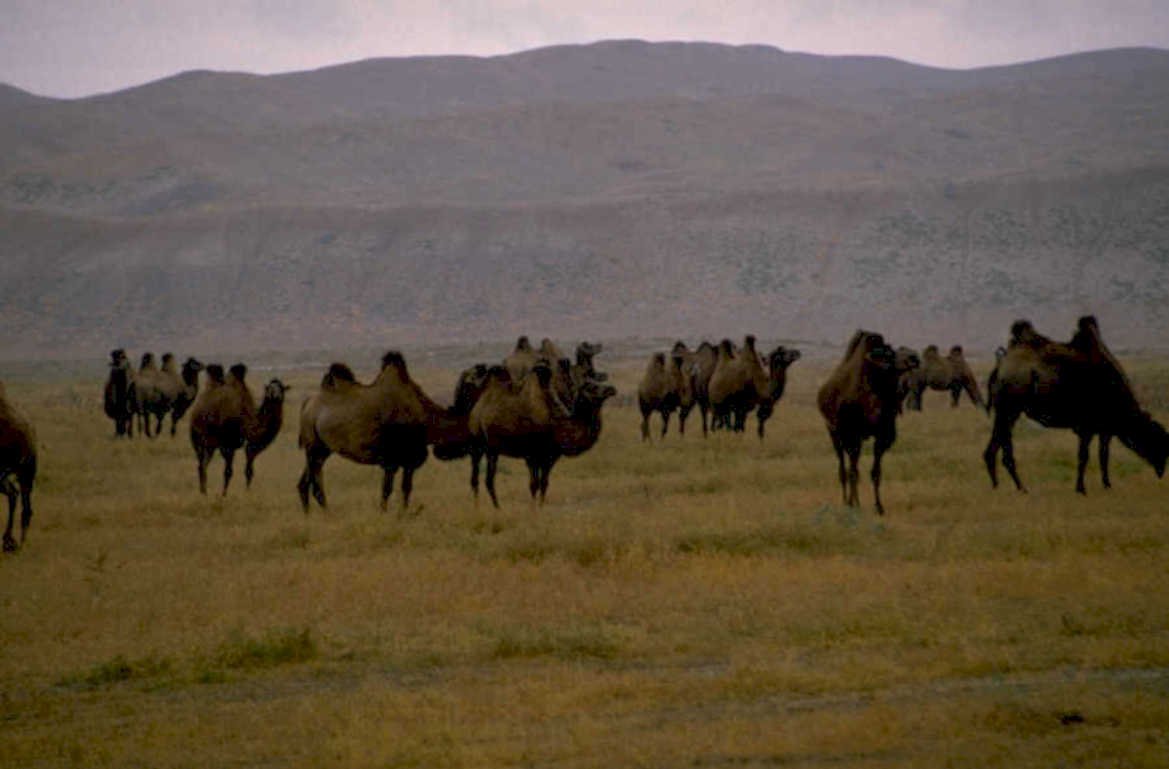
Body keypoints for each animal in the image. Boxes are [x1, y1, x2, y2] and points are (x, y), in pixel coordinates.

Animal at [189, 364, 288, 495]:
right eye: (269, 389)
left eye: (281, 388)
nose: (276, 395)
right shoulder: (227, 445)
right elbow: (228, 472)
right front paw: (224, 495)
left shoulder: (250, 445)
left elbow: (249, 471)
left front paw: (247, 492)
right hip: (198, 439)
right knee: (202, 464)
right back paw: (203, 492)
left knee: (202, 464)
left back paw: (203, 491)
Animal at [298, 351, 457, 512]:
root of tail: (307, 404)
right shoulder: (390, 460)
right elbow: (387, 490)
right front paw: (384, 513)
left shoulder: (409, 460)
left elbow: (406, 489)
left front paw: (403, 513)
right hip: (313, 446)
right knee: (313, 485)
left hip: (322, 449)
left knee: (305, 483)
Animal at [467, 362, 616, 507]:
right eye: (591, 386)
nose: (612, 389)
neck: (555, 423)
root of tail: (477, 409)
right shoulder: (531, 455)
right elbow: (534, 484)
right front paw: (533, 509)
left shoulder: (550, 456)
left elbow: (544, 483)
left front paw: (540, 506)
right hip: (478, 445)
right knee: (479, 479)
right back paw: (486, 507)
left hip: (491, 448)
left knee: (486, 479)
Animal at [817, 331, 919, 515]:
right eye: (889, 353)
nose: (914, 358)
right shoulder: (852, 435)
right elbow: (852, 471)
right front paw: (852, 505)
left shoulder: (882, 436)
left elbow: (875, 472)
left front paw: (879, 507)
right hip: (833, 432)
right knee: (843, 467)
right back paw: (846, 501)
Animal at [984, 316, 1168, 494]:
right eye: (1158, 442)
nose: (1162, 470)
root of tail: (1000, 367)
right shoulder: (1087, 426)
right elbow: (1084, 456)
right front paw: (1081, 489)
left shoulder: (1105, 428)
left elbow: (1103, 456)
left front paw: (1107, 484)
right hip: (1010, 408)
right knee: (1004, 450)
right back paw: (1021, 488)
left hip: (1007, 411)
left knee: (993, 448)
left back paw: (998, 486)